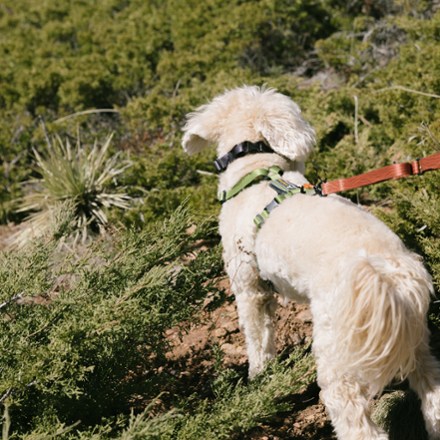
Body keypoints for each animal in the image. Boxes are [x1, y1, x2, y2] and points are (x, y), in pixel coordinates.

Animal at [181, 86, 440, 440]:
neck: (256, 170)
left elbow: (256, 338)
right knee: (433, 393)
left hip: (338, 354)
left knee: (357, 422)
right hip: (415, 340)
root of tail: (389, 275)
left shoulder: (249, 287)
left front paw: (258, 377)